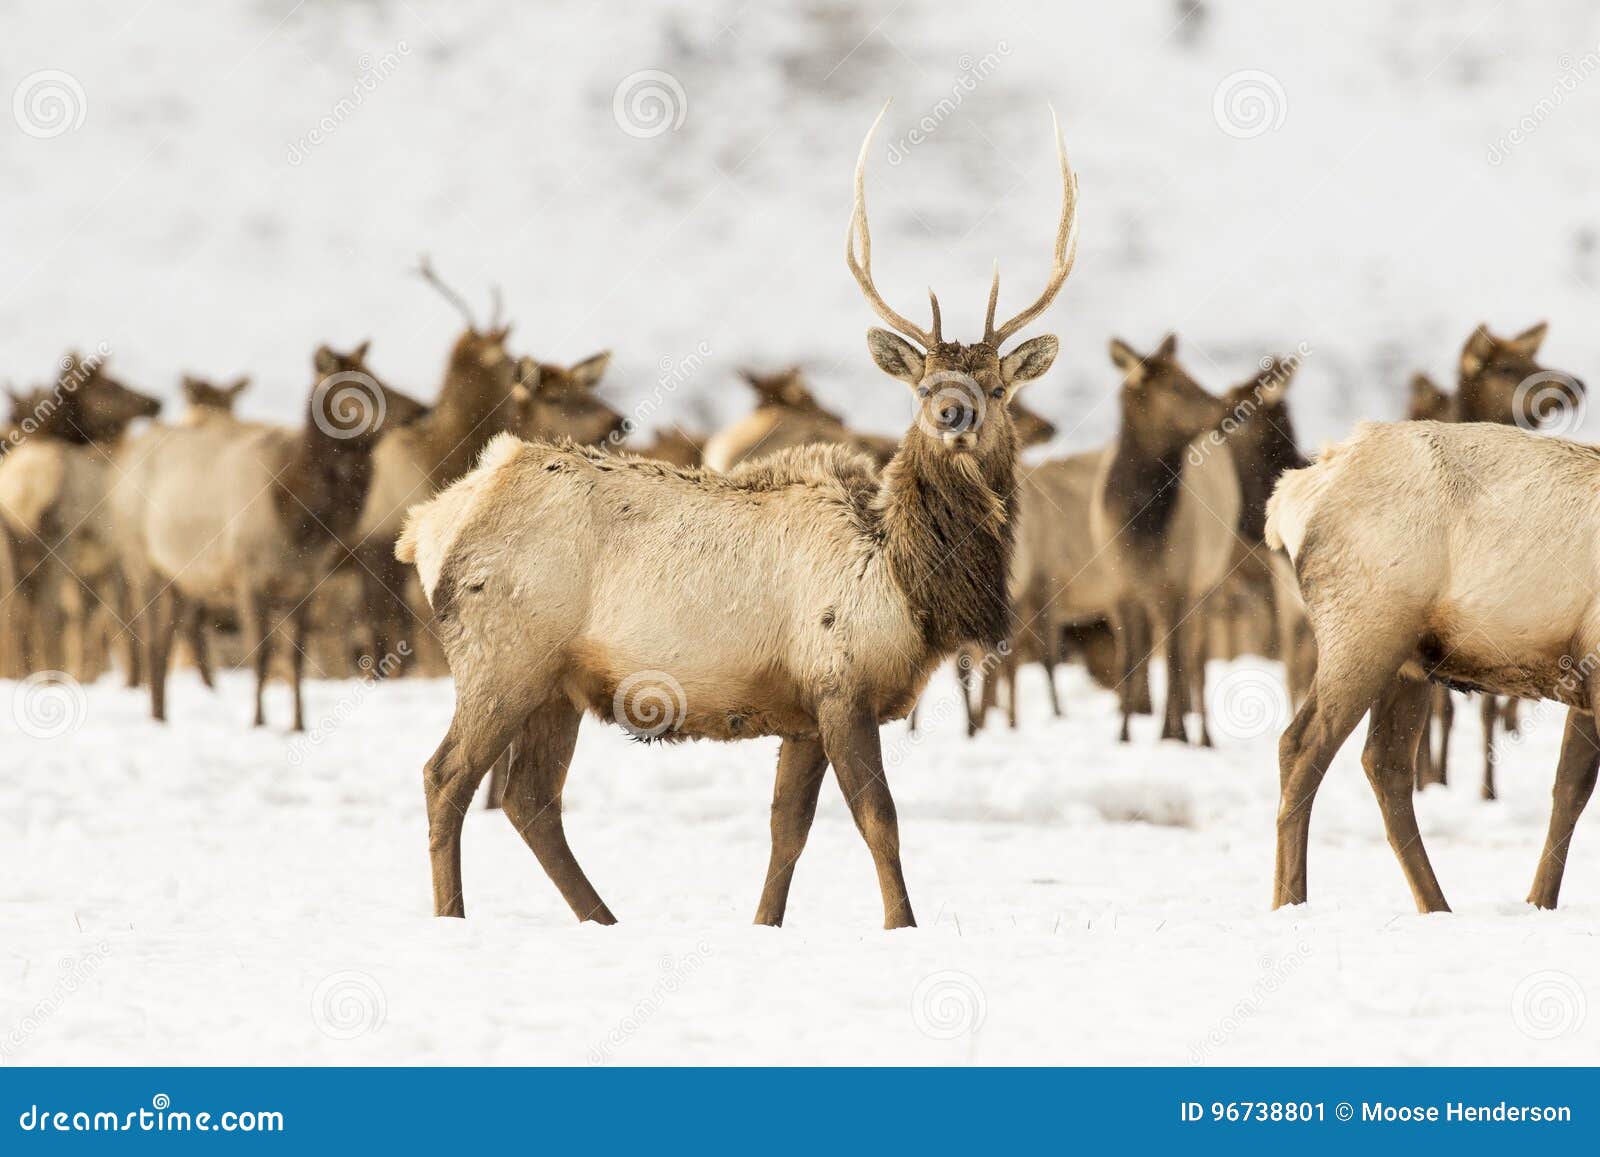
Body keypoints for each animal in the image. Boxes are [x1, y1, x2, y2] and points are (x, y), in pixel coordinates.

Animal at [395, 102, 1081, 934]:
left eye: (998, 386)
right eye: (923, 385)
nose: (953, 413)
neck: (907, 584)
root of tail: (426, 524)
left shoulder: (803, 711)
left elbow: (789, 828)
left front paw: (765, 924)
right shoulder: (838, 683)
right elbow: (878, 818)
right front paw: (903, 924)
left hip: (557, 681)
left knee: (532, 799)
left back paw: (604, 918)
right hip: (502, 656)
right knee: (446, 776)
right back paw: (455, 916)